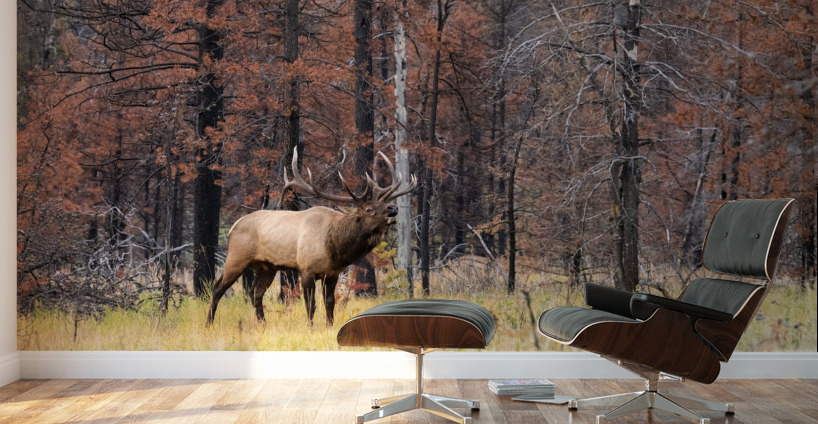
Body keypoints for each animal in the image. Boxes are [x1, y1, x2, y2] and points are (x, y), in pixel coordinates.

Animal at [206, 149, 416, 327]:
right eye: (369, 209)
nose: (393, 208)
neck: (335, 248)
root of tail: (234, 226)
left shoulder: (332, 273)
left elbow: (329, 303)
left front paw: (330, 327)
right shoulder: (306, 269)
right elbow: (311, 304)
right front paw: (310, 327)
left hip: (267, 267)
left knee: (255, 293)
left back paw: (262, 324)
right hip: (236, 258)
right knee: (218, 288)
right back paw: (209, 323)